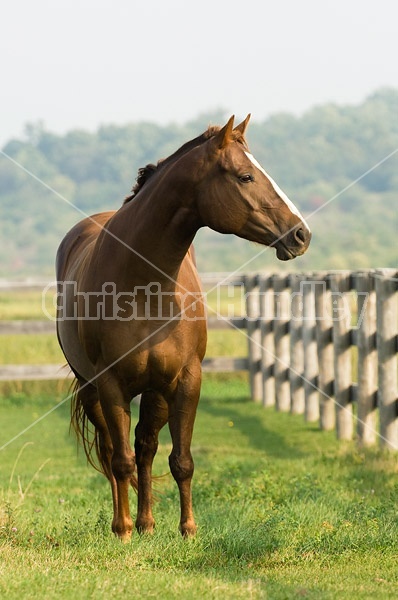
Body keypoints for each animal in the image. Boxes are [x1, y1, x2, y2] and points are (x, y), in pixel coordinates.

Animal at [56, 115, 310, 540]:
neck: (145, 289)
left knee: (146, 447)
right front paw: (123, 531)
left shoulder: (185, 379)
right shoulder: (110, 384)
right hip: (92, 389)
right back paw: (125, 523)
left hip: (156, 391)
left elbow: (181, 460)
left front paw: (188, 529)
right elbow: (121, 460)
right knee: (113, 451)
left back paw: (147, 523)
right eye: (245, 176)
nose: (301, 234)